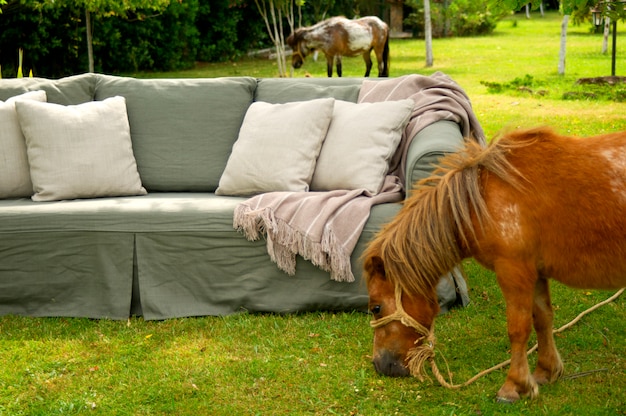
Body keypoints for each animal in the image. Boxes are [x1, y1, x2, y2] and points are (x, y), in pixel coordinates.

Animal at [360, 127, 624, 404]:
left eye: (376, 308)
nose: (380, 365)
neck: (482, 198)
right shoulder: (536, 273)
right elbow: (543, 319)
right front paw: (545, 371)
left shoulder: (514, 271)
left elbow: (518, 329)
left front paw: (514, 386)